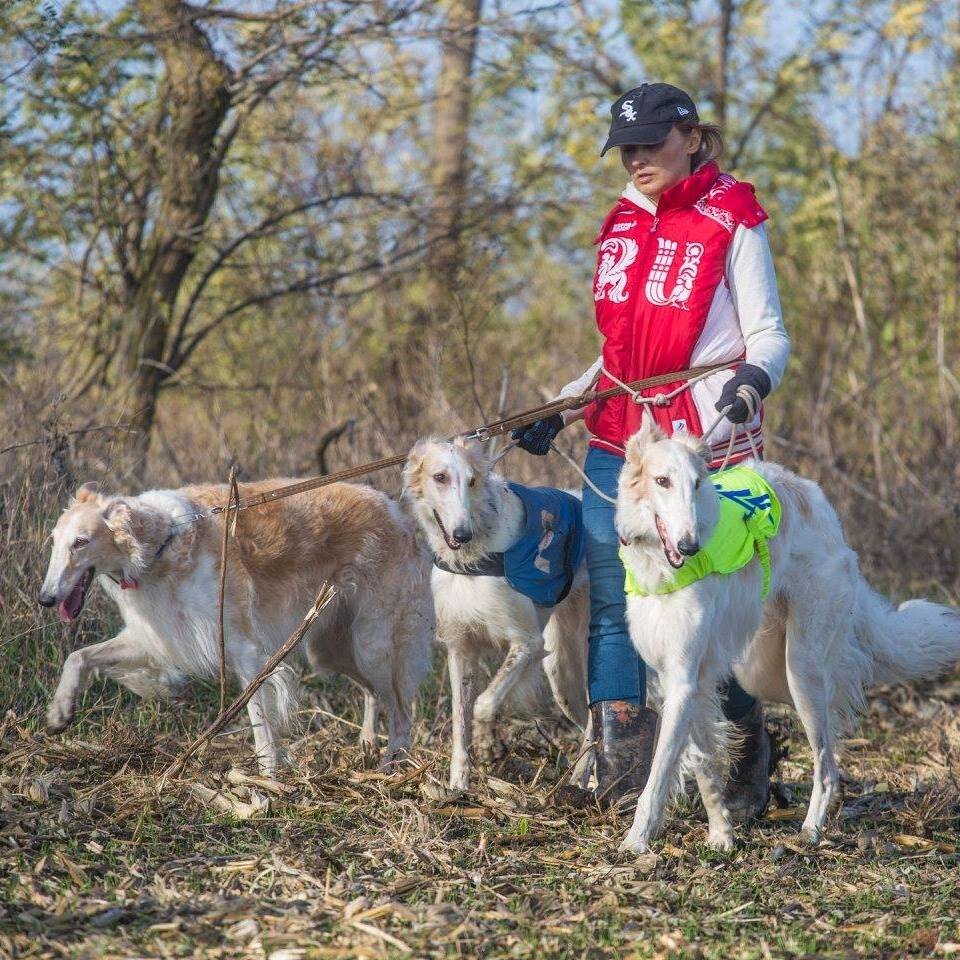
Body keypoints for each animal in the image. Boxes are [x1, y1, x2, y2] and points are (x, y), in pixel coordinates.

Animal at [39, 478, 434, 772]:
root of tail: (394, 510)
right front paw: (60, 711)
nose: (45, 599)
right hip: (330, 649)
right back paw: (368, 745)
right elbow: (78, 656)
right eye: (55, 541)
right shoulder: (155, 637)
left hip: (371, 645)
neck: (162, 543)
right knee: (374, 695)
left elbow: (259, 720)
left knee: (402, 713)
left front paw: (267, 778)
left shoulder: (245, 650)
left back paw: (390, 767)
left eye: (81, 542)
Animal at [616, 416, 960, 852]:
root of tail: (820, 504)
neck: (659, 566)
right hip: (759, 663)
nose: (690, 545)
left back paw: (811, 831)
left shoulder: (683, 679)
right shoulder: (680, 682)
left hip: (801, 668)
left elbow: (659, 775)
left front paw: (636, 841)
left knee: (827, 768)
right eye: (662, 481)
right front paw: (721, 833)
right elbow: (704, 766)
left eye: (697, 483)